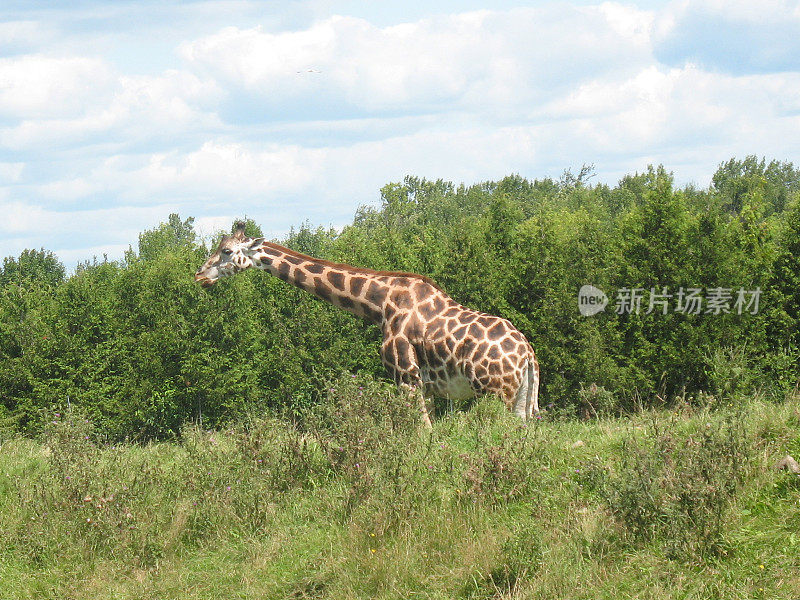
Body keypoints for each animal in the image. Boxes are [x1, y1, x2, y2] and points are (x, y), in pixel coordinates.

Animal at [196, 223, 540, 424]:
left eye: (226, 251)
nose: (199, 276)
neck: (379, 304)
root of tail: (528, 355)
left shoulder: (406, 377)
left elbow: (422, 434)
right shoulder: (425, 385)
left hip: (494, 393)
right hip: (521, 397)